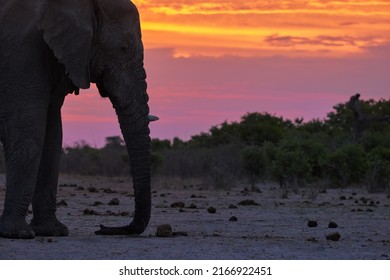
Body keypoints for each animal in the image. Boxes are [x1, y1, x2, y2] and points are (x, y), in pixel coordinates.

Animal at [0, 0, 155, 238]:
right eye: (123, 49)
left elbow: (53, 139)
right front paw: (17, 233)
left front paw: (52, 231)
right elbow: (27, 135)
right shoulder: (22, 55)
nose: (102, 228)